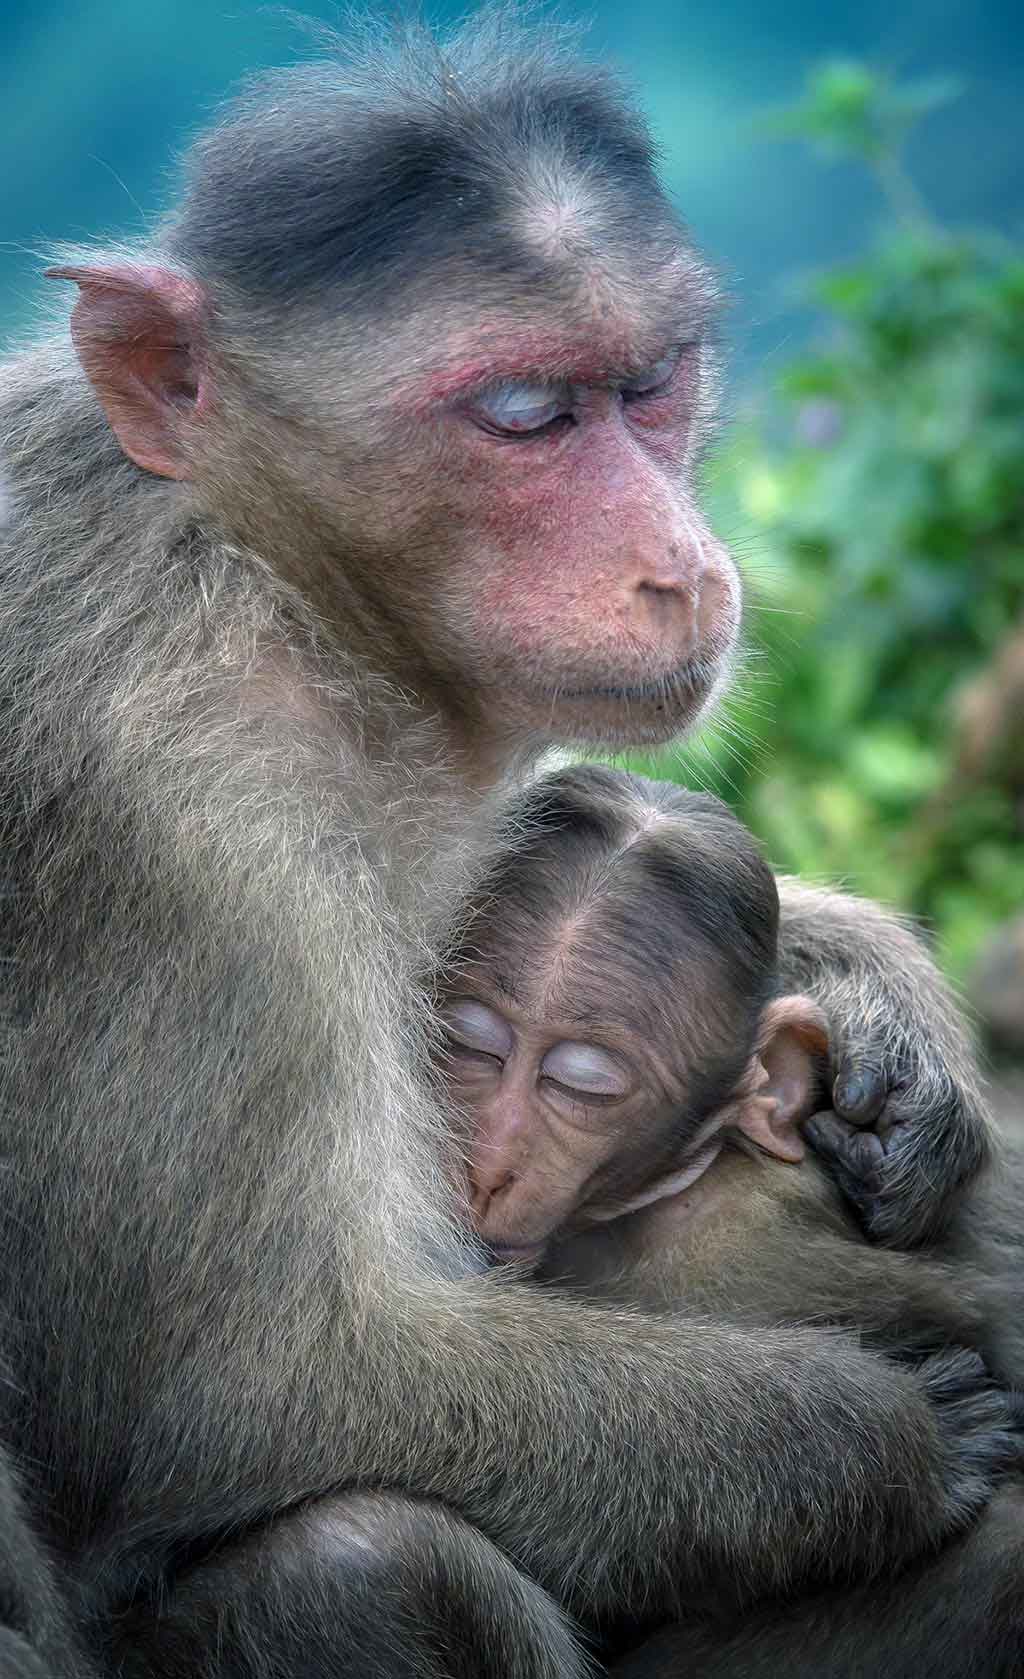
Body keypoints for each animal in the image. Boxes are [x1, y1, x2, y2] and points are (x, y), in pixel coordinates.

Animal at [0, 13, 1007, 1679]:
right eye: (526, 416)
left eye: (650, 385)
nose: (678, 565)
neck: (274, 579)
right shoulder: (183, 815)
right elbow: (264, 1383)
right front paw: (889, 1436)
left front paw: (878, 996)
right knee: (365, 1552)